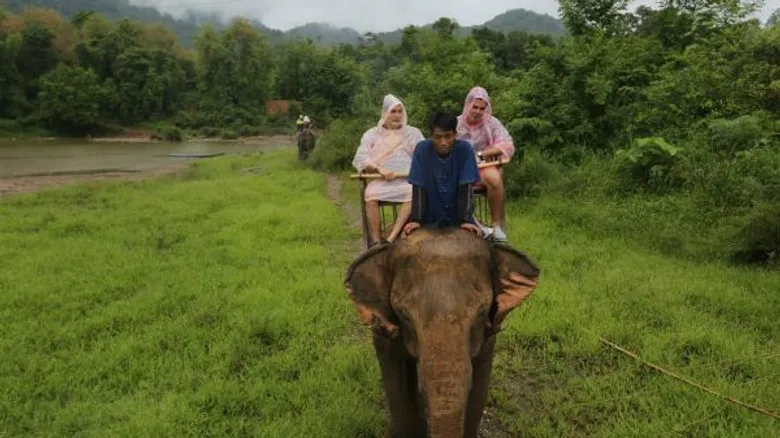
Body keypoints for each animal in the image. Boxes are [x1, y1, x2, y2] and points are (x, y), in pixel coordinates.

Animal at [344, 227, 541, 438]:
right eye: (404, 315)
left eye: (481, 312)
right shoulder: (387, 337)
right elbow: (397, 385)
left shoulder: (487, 339)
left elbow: (479, 387)